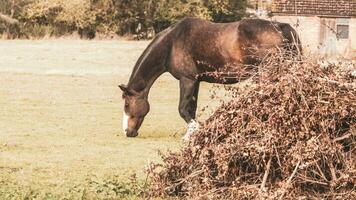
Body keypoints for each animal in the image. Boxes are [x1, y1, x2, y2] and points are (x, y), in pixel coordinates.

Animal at [119, 17, 300, 138]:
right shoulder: (196, 81)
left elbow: (183, 109)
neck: (171, 44)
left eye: (127, 104)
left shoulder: (187, 80)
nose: (128, 132)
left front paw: (193, 133)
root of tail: (280, 26)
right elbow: (191, 108)